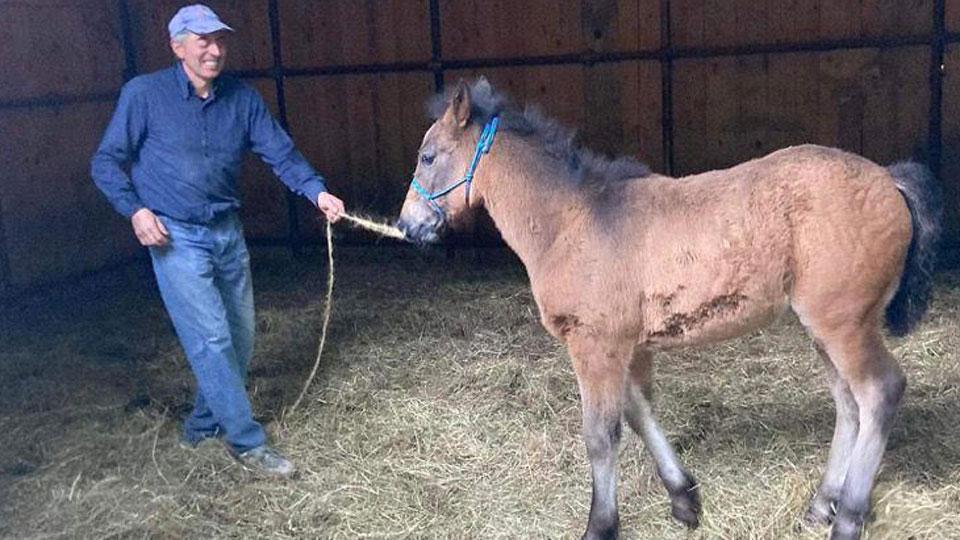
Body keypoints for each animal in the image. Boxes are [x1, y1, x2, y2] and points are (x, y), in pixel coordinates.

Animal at [396, 78, 942, 540]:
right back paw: (821, 504)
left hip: (844, 322)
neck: (572, 221)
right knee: (849, 404)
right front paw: (684, 499)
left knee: (879, 392)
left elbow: (601, 435)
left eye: (427, 156)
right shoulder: (626, 346)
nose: (407, 226)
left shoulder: (594, 345)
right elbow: (639, 414)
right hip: (824, 326)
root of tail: (889, 179)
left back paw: (847, 517)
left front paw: (601, 526)